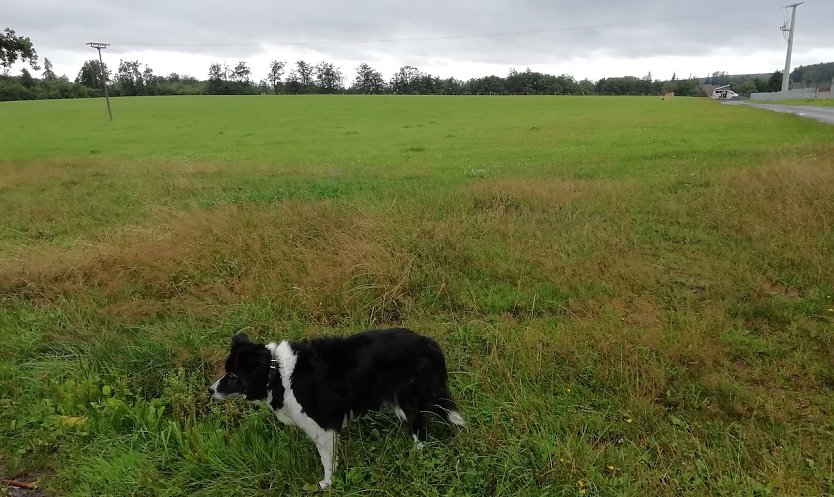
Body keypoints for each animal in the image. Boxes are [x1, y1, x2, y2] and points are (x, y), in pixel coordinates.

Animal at [208, 328, 464, 486]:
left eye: (232, 376)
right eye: (227, 372)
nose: (210, 391)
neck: (275, 373)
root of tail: (429, 342)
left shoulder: (321, 427)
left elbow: (326, 460)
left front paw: (328, 483)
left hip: (408, 397)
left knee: (421, 427)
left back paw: (417, 454)